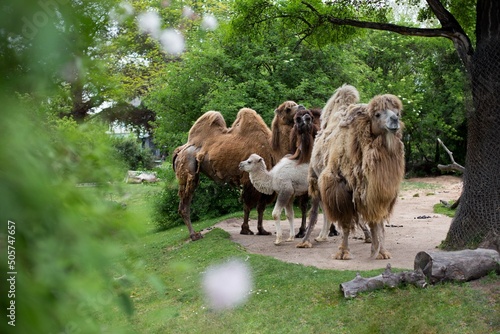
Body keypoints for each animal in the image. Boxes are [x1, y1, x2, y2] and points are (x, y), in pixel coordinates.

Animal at [174, 101, 300, 240]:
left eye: (295, 104)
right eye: (288, 109)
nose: (301, 107)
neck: (272, 150)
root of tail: (179, 150)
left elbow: (261, 207)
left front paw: (262, 230)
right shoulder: (249, 181)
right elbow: (247, 206)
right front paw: (246, 230)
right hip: (188, 169)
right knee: (184, 204)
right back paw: (194, 235)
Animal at [316, 85, 406, 260]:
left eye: (397, 113)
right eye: (377, 114)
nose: (394, 120)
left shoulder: (376, 192)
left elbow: (378, 222)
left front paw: (381, 252)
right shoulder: (340, 188)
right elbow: (345, 222)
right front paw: (343, 252)